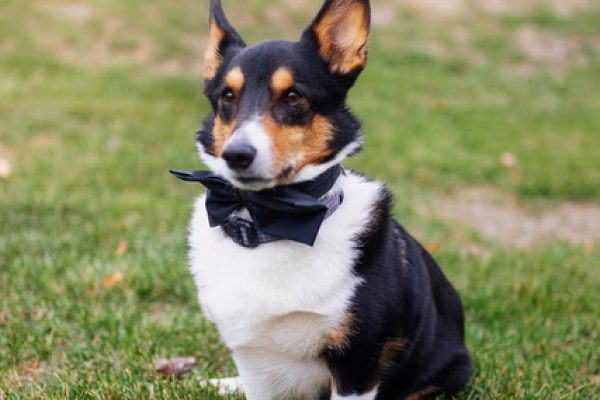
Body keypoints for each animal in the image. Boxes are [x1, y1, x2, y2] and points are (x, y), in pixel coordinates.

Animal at [172, 0, 474, 396]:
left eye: (293, 96)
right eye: (227, 95)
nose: (236, 155)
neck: (266, 222)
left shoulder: (357, 364)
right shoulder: (255, 366)